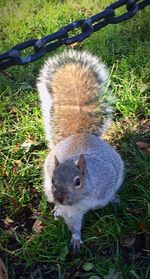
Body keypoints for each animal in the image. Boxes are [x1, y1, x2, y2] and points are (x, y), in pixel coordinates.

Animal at [36, 49, 124, 252]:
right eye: (53, 180)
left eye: (77, 181)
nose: (60, 198)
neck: (81, 199)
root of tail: (79, 134)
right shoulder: (71, 210)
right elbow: (74, 224)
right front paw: (76, 239)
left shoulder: (105, 182)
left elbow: (106, 196)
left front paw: (112, 200)